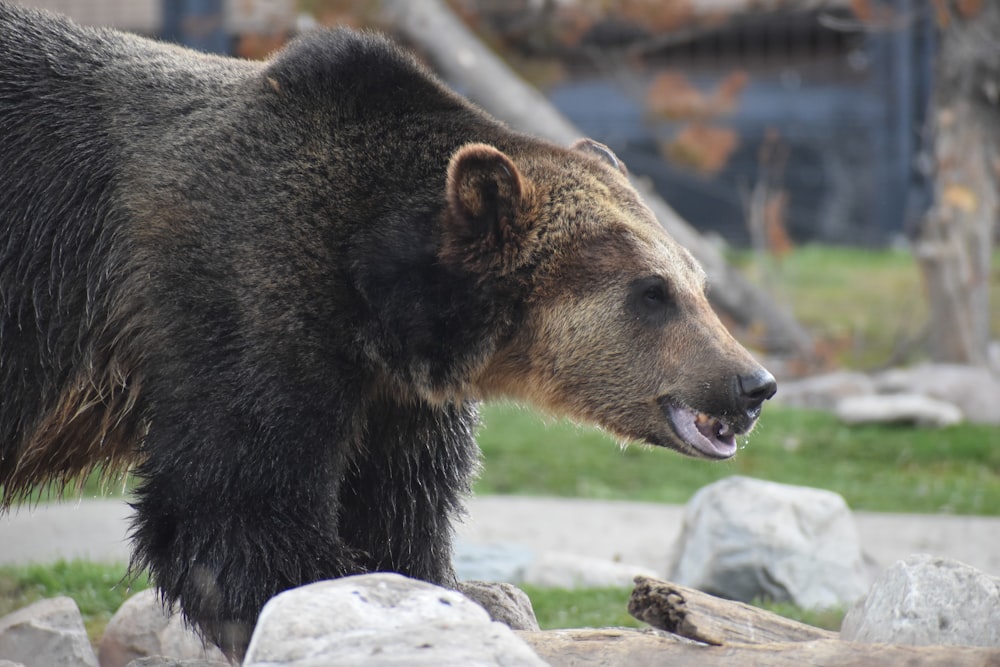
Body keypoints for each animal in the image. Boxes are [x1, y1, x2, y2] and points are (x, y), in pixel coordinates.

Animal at [0, 2, 772, 660]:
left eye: (698, 280)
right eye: (652, 291)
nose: (753, 382)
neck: (374, 296)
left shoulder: (395, 395)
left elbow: (402, 506)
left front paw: (462, 590)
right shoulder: (241, 299)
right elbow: (230, 509)